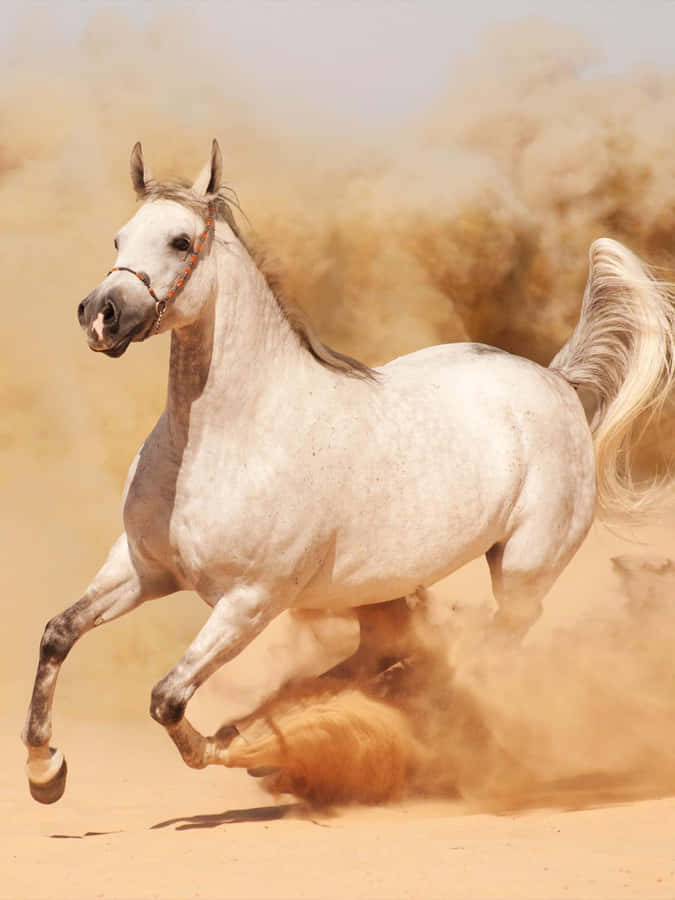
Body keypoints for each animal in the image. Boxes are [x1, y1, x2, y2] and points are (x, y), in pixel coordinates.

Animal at [23, 140, 675, 804]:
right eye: (119, 238)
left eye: (181, 241)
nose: (100, 315)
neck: (223, 440)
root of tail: (556, 381)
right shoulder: (142, 568)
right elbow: (57, 633)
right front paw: (45, 771)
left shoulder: (249, 601)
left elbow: (168, 700)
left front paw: (234, 745)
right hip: (386, 590)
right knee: (388, 656)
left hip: (522, 573)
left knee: (481, 654)